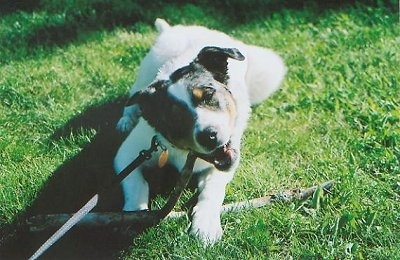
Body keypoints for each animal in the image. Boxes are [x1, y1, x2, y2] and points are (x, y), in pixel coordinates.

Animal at [114, 18, 286, 244]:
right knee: (132, 101)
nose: (209, 136)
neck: (184, 153)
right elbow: (136, 183)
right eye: (175, 117)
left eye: (208, 94)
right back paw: (126, 120)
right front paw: (134, 213)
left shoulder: (221, 167)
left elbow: (213, 191)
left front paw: (205, 224)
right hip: (143, 77)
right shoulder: (126, 156)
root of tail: (173, 29)